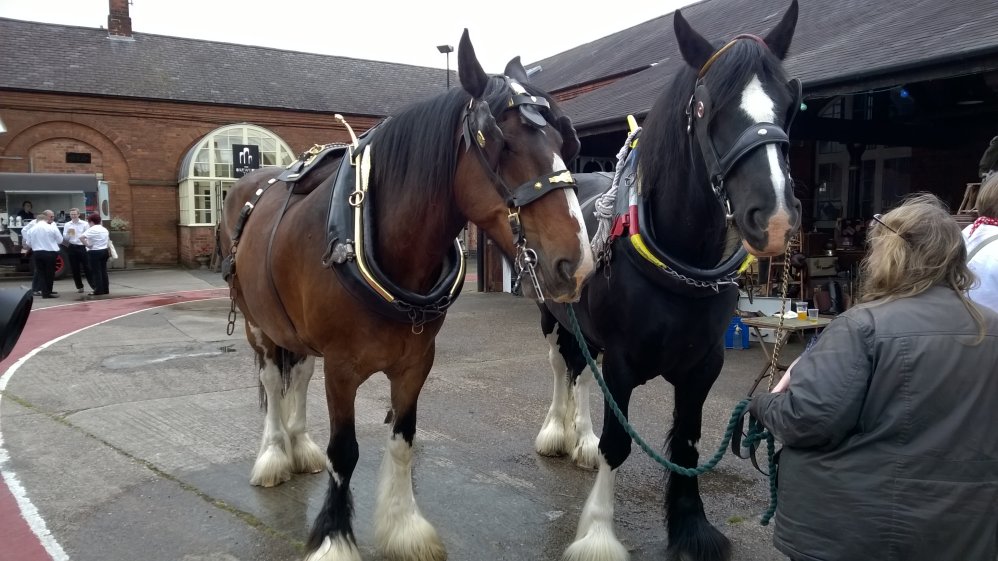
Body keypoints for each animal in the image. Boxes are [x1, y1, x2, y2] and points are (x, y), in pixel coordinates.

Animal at [219, 30, 594, 561]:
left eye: (568, 141)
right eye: (499, 142)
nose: (575, 262)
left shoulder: (416, 361)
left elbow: (402, 437)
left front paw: (403, 528)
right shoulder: (342, 367)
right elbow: (345, 452)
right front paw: (335, 538)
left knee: (300, 375)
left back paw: (299, 447)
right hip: (260, 326)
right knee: (274, 382)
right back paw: (274, 454)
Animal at [532, 3, 802, 560]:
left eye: (791, 103)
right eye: (705, 107)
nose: (775, 219)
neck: (680, 264)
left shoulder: (703, 365)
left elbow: (688, 442)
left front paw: (691, 527)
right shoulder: (623, 359)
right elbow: (618, 443)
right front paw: (597, 534)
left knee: (581, 374)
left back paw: (579, 441)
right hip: (552, 317)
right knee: (560, 367)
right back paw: (555, 432)